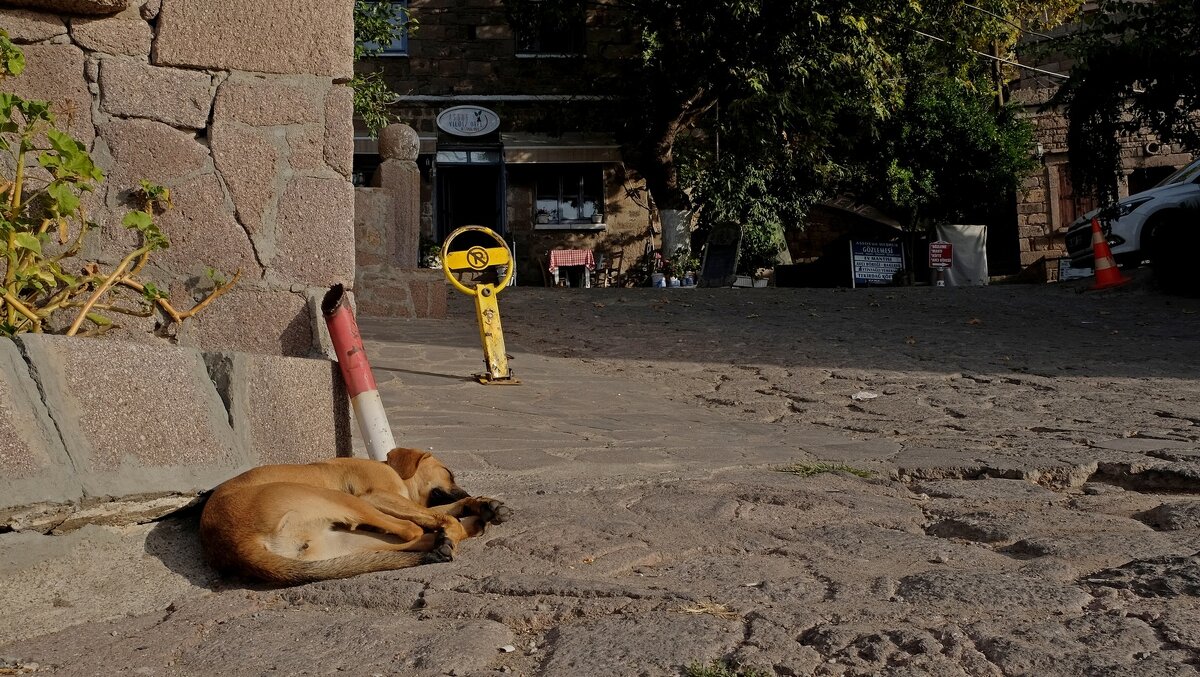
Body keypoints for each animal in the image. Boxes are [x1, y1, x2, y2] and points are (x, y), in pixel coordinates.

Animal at [199, 446, 508, 583]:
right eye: (449, 473)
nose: (467, 488)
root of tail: (233, 545)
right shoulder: (377, 496)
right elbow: (440, 516)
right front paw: (463, 519)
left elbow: (441, 510)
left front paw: (481, 505)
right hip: (344, 500)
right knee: (413, 531)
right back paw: (451, 536)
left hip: (343, 540)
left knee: (408, 538)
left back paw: (455, 534)